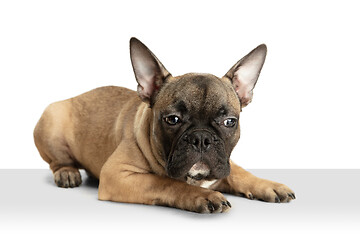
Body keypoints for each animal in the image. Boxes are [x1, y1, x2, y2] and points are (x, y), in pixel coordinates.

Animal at [33, 38, 296, 214]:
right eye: (172, 120)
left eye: (229, 122)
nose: (202, 138)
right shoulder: (117, 174)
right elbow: (164, 182)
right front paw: (203, 195)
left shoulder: (224, 164)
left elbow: (238, 172)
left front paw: (268, 185)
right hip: (52, 119)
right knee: (58, 161)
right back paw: (67, 172)